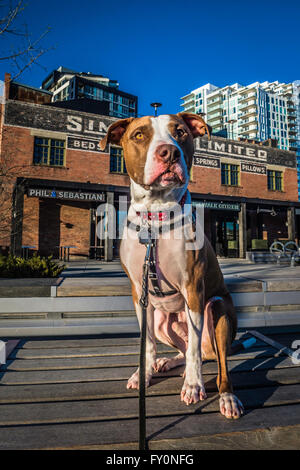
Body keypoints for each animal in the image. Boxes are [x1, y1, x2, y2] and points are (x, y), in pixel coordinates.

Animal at [99, 113, 245, 418]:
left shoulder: (193, 288)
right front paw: (143, 374)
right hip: (160, 321)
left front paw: (193, 385)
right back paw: (168, 362)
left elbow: (195, 353)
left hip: (218, 310)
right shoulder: (139, 294)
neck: (155, 217)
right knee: (186, 347)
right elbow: (148, 345)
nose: (169, 152)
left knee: (213, 360)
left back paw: (226, 396)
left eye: (180, 133)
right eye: (139, 135)